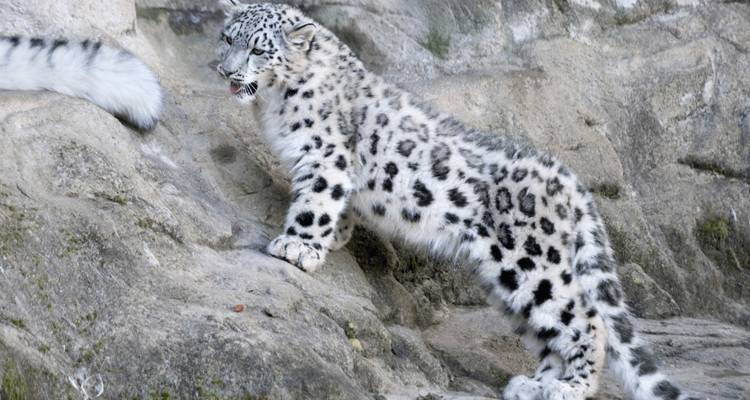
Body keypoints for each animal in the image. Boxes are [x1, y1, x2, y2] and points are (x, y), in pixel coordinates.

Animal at [215, 1, 701, 399]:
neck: (273, 103)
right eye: (227, 38)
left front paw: (298, 246)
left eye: (258, 50)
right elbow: (340, 204)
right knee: (549, 333)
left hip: (534, 264)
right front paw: (335, 238)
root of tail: (569, 180)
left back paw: (568, 387)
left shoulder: (325, 155)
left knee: (586, 320)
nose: (224, 71)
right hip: (510, 282)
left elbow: (317, 199)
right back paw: (533, 384)